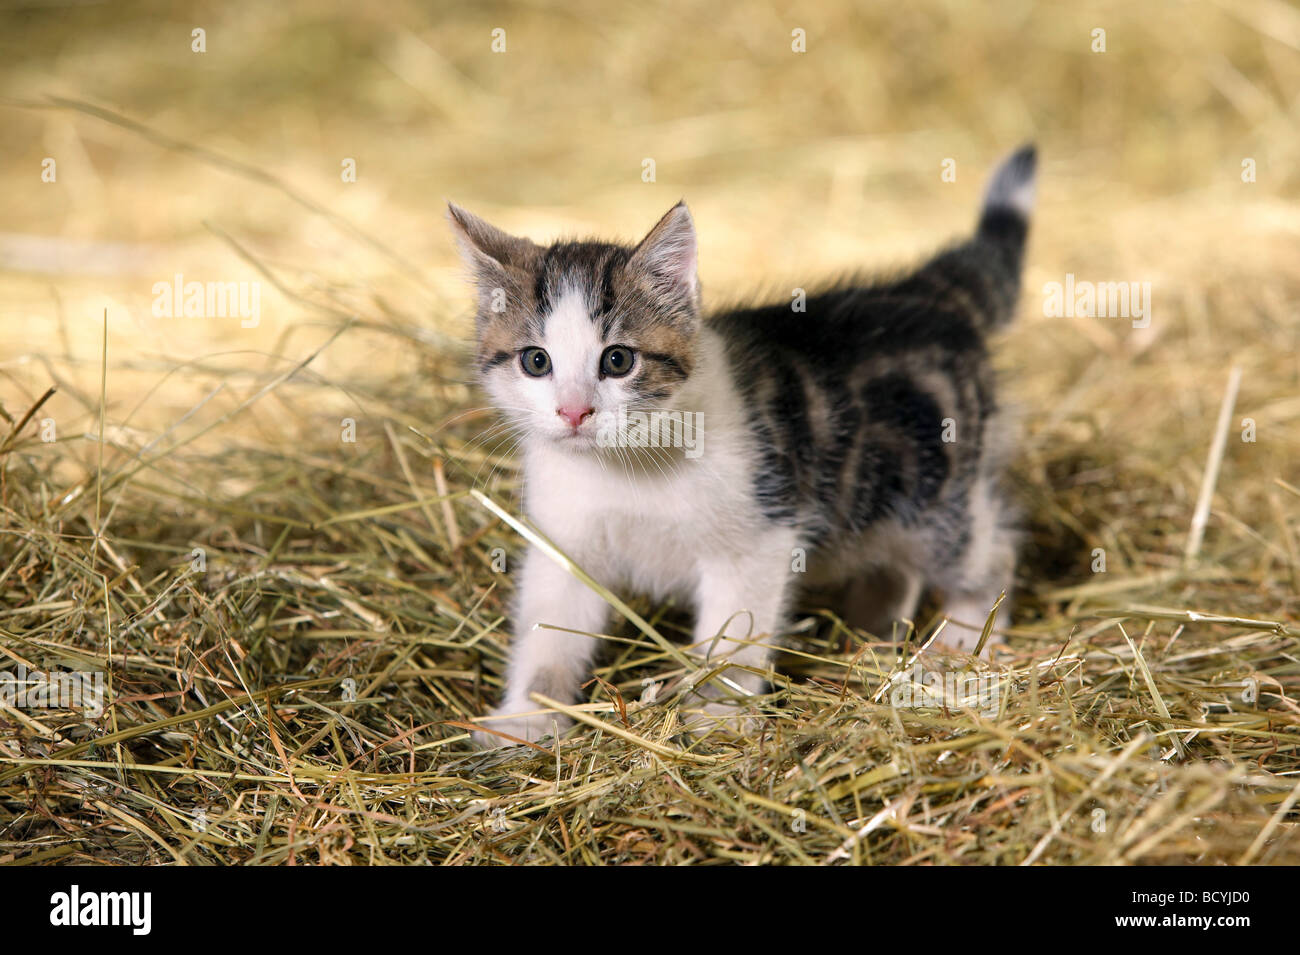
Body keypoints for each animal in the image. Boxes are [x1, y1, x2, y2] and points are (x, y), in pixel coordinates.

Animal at [449, 143, 1034, 748]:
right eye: (535, 361)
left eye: (618, 360)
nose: (573, 411)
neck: (622, 468)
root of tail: (925, 295)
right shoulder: (566, 539)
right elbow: (549, 630)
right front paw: (526, 716)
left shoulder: (758, 536)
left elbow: (735, 632)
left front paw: (719, 713)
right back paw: (873, 627)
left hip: (940, 496)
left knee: (989, 548)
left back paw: (966, 639)